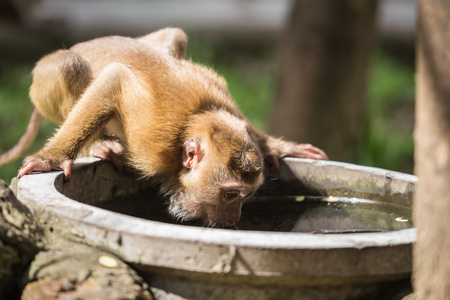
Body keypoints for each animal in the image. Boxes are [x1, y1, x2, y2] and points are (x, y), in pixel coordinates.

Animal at [0, 27, 326, 227]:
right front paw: (50, 159)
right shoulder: (152, 140)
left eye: (246, 195)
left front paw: (276, 146)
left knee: (175, 37)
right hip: (44, 83)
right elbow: (114, 79)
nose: (234, 219)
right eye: (231, 195)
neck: (195, 120)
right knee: (71, 64)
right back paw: (97, 142)